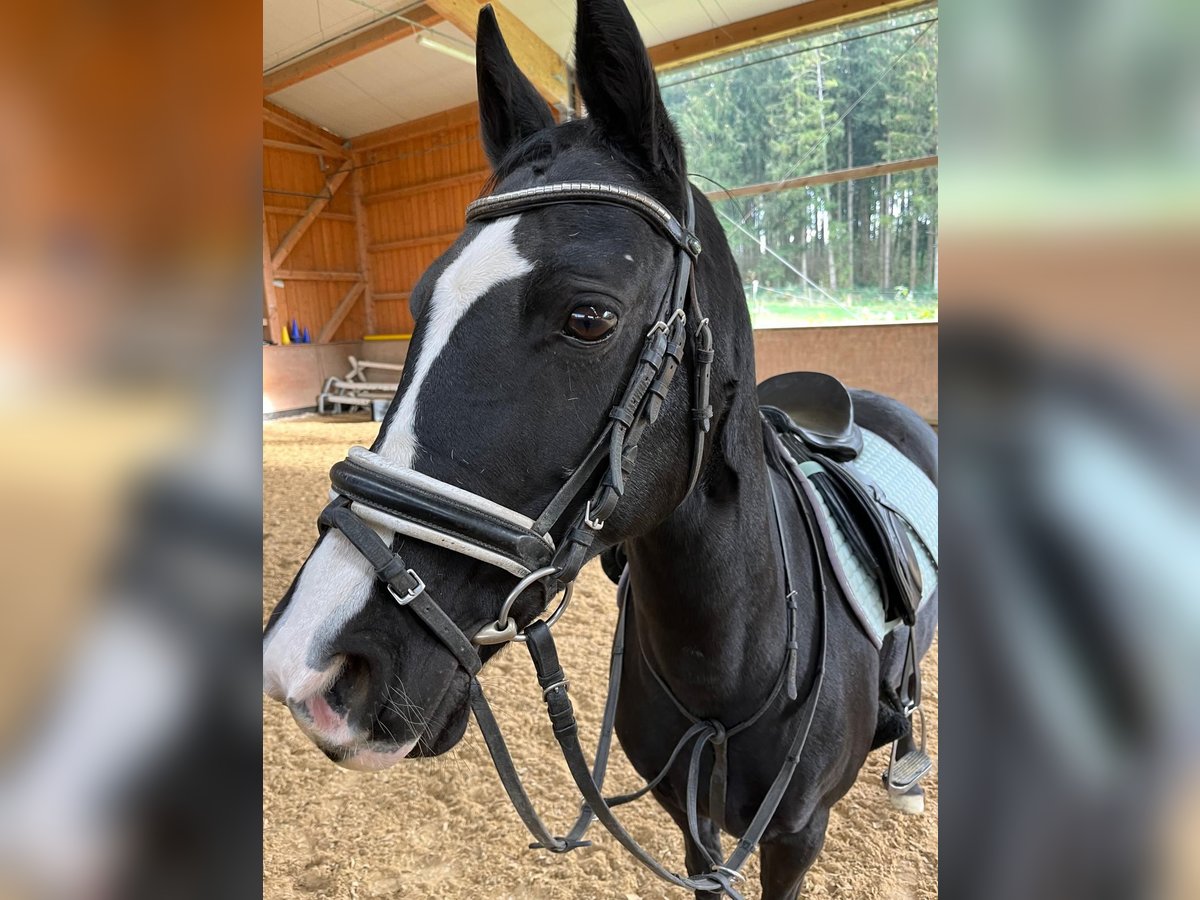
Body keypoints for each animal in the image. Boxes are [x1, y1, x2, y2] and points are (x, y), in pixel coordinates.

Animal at [262, 3, 936, 897]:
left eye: (590, 317)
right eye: (418, 302)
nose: (310, 665)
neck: (734, 657)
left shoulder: (796, 841)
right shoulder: (693, 832)